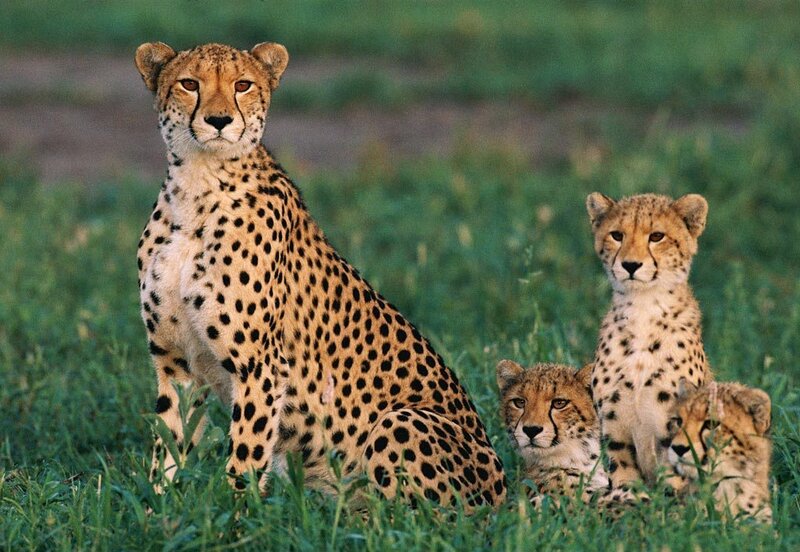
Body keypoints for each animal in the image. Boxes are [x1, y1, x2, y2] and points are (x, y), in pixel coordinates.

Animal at [133, 41, 507, 509]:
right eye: (189, 83)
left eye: (243, 85)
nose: (219, 120)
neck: (198, 185)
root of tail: (505, 493)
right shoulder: (175, 361)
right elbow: (169, 442)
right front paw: (159, 507)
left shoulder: (261, 367)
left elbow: (244, 454)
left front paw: (234, 514)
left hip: (400, 421)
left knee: (418, 517)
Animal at [586, 192, 713, 489]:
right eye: (617, 235)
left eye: (657, 236)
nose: (631, 265)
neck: (643, 309)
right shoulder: (615, 430)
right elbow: (624, 479)